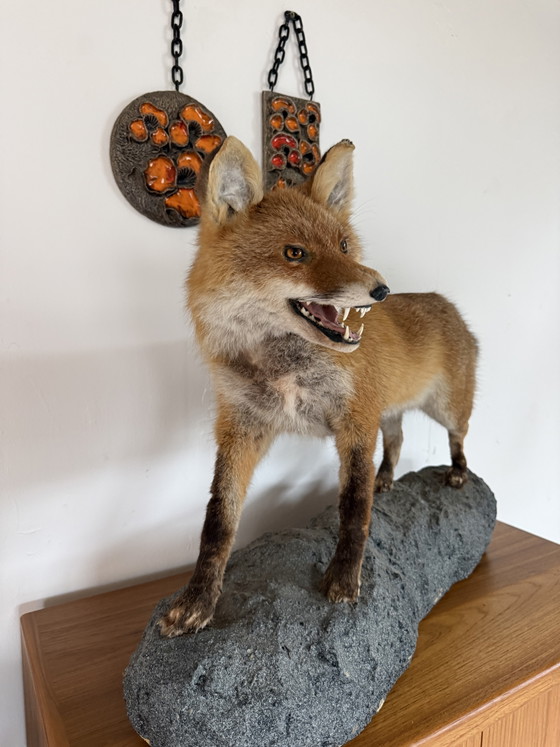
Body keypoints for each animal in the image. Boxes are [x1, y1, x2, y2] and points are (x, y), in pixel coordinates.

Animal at [159, 136, 478, 637]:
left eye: (344, 246)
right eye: (295, 254)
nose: (382, 289)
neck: (285, 369)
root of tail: (447, 304)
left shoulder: (356, 424)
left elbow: (354, 509)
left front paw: (345, 580)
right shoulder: (240, 430)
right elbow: (217, 522)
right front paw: (197, 600)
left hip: (445, 408)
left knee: (459, 436)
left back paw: (458, 471)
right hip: (387, 414)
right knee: (397, 440)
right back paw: (388, 479)